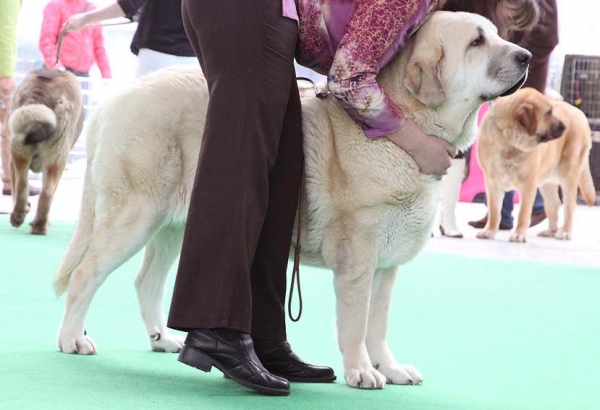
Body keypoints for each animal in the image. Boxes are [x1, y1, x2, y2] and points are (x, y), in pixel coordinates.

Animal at [7, 67, 83, 234]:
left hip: (23, 149)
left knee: (27, 186)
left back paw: (28, 221)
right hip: (55, 157)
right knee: (44, 191)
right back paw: (37, 225)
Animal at [52, 12, 528, 390]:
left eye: (495, 35)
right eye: (477, 42)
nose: (525, 56)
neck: (406, 126)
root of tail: (113, 100)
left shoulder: (385, 267)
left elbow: (378, 324)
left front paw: (390, 368)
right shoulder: (358, 261)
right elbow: (356, 323)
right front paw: (362, 372)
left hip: (175, 225)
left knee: (146, 280)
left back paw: (162, 339)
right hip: (134, 215)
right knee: (86, 275)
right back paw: (73, 339)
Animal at [474, 86, 596, 242]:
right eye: (548, 112)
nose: (565, 127)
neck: (509, 140)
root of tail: (579, 112)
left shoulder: (528, 185)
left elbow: (523, 213)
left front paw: (519, 234)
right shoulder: (492, 183)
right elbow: (495, 211)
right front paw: (489, 231)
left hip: (569, 176)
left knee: (569, 206)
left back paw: (565, 232)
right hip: (547, 182)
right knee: (554, 204)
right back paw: (551, 231)